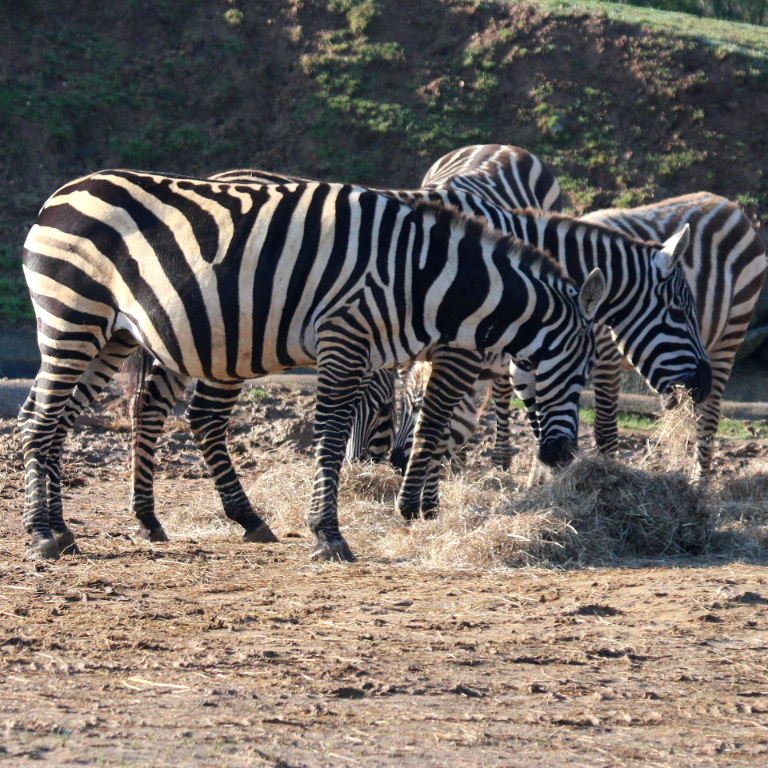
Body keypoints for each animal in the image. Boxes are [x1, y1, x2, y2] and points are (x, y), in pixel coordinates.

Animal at [20, 169, 604, 561]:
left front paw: (410, 510)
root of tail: (65, 191)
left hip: (116, 333)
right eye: (578, 373)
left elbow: (412, 425)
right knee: (40, 419)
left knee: (66, 418)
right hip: (74, 315)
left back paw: (88, 526)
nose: (562, 455)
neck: (428, 278)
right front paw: (335, 533)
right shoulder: (345, 337)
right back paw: (44, 533)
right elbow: (342, 431)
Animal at [581, 192, 767, 476]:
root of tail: (731, 205)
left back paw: (699, 483)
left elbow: (604, 427)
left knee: (709, 416)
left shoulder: (606, 355)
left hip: (731, 331)